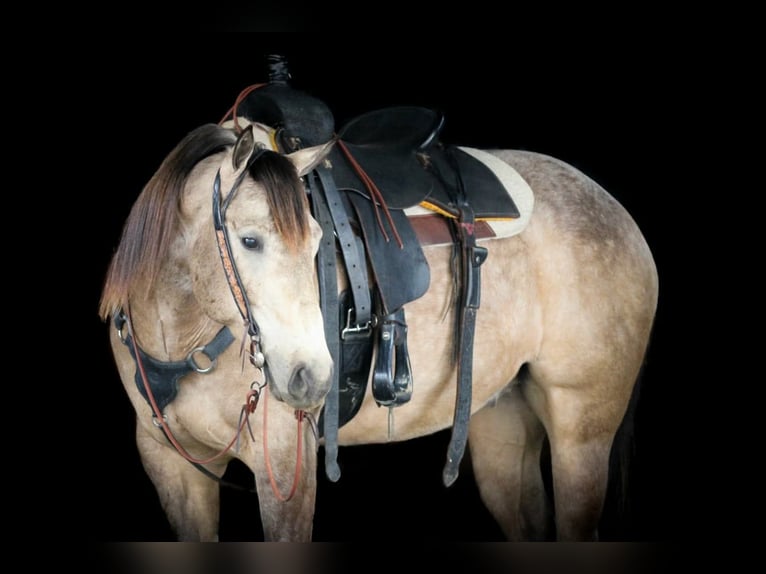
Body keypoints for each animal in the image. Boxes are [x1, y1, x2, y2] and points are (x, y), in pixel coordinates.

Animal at [98, 86, 658, 542]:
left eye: (318, 242)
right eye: (250, 241)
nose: (310, 376)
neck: (184, 337)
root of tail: (617, 213)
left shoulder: (283, 466)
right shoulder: (170, 463)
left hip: (581, 431)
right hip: (501, 420)